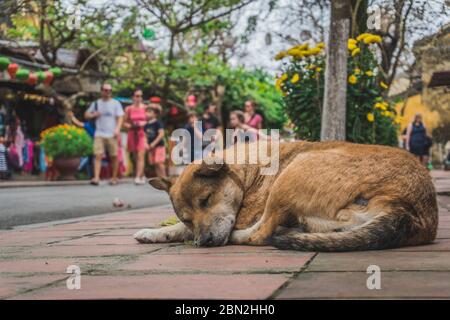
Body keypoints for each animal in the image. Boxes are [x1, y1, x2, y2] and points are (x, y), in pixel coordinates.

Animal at [135, 141, 438, 251]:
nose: (205, 242)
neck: (248, 171)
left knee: (262, 234)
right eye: (188, 217)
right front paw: (154, 232)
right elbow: (176, 228)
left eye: (206, 200)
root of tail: (411, 210)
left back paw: (245, 236)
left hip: (293, 172)